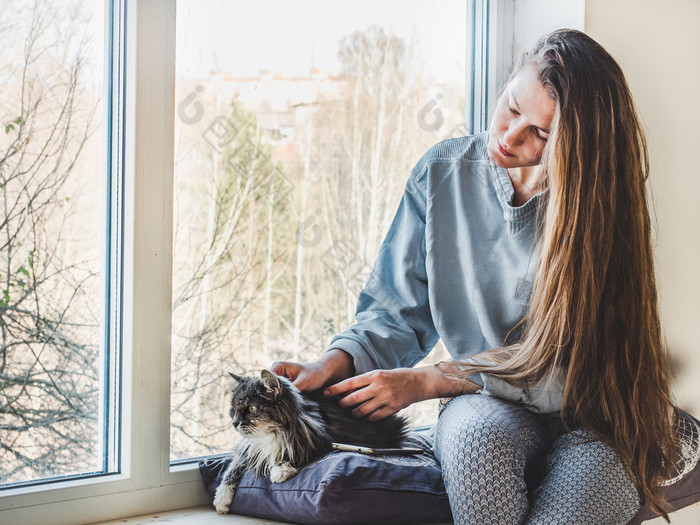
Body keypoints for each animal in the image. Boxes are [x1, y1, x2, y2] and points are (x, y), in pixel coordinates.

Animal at [213, 368, 410, 512]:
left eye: (251, 408)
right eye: (233, 410)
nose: (234, 423)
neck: (269, 436)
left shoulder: (318, 441)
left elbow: (293, 455)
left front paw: (279, 472)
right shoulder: (247, 450)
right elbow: (231, 470)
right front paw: (221, 500)